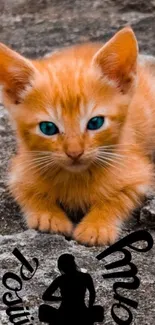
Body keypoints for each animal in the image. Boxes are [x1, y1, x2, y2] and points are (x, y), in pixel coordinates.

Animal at [0, 27, 154, 246]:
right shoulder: (20, 170)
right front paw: (49, 216)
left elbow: (119, 197)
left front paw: (96, 226)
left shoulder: (138, 172)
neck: (76, 176)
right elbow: (28, 192)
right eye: (48, 128)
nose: (74, 153)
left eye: (95, 123)